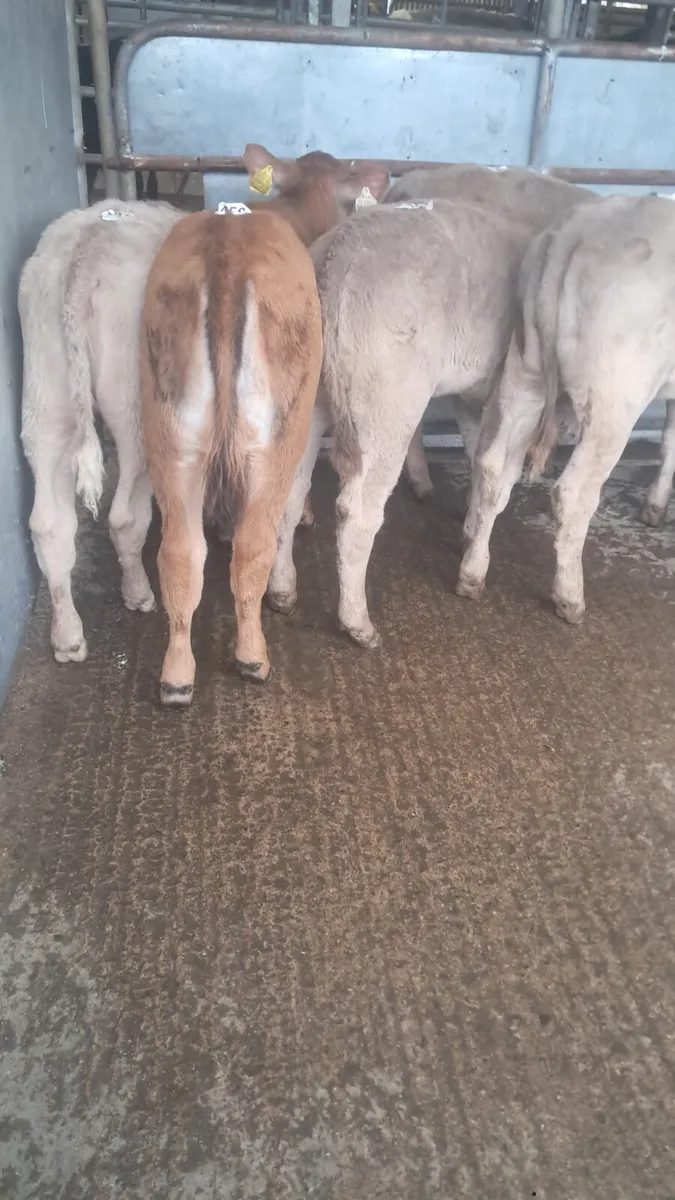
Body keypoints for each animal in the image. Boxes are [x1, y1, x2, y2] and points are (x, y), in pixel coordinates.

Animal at [140, 148, 390, 705]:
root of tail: (228, 242)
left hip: (171, 436)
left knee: (179, 553)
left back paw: (176, 675)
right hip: (273, 437)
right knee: (252, 548)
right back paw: (253, 655)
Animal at [457, 193, 675, 624]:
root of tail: (578, 228)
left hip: (525, 373)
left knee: (492, 468)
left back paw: (472, 574)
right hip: (613, 401)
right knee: (573, 494)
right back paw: (570, 597)